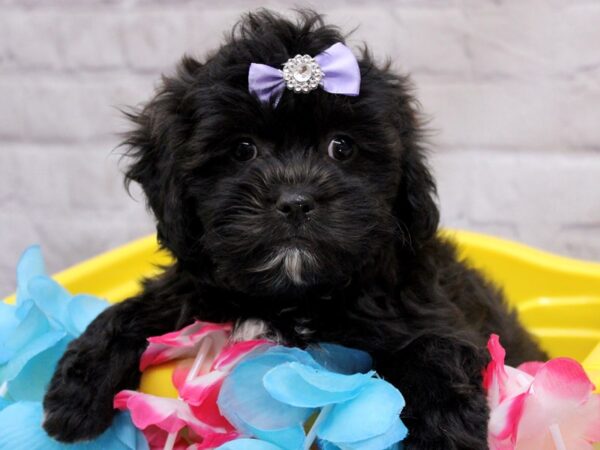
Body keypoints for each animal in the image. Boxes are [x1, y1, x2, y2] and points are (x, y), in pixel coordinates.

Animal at [43, 10, 548, 450]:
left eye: (341, 147)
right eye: (243, 149)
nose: (295, 201)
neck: (294, 295)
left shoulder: (425, 308)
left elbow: (437, 351)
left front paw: (444, 436)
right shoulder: (199, 286)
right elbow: (141, 307)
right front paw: (77, 390)